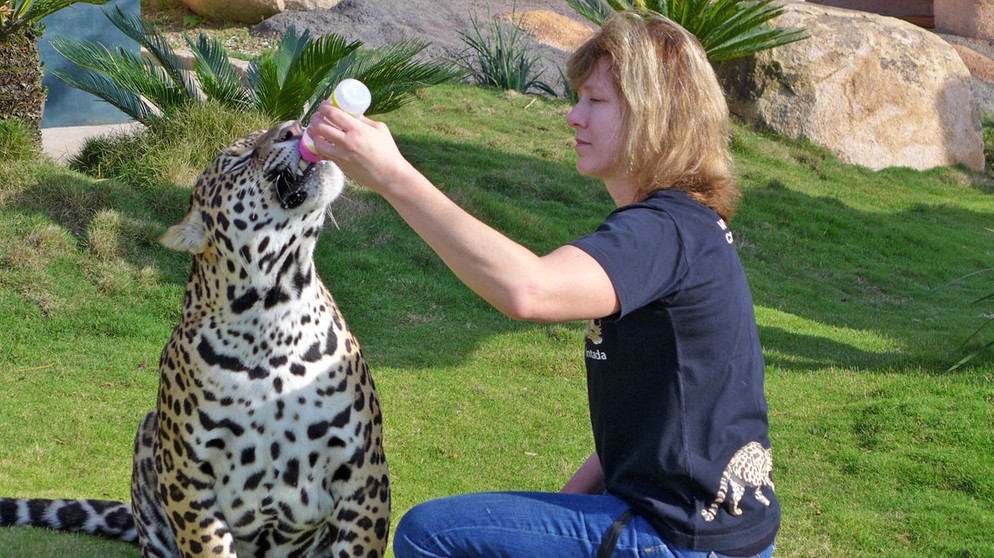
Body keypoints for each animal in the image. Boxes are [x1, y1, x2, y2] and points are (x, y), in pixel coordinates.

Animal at [0, 122, 388, 558]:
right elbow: (209, 545)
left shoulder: (365, 471)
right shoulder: (186, 475)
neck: (275, 313)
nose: (294, 127)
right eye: (238, 159)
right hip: (147, 438)